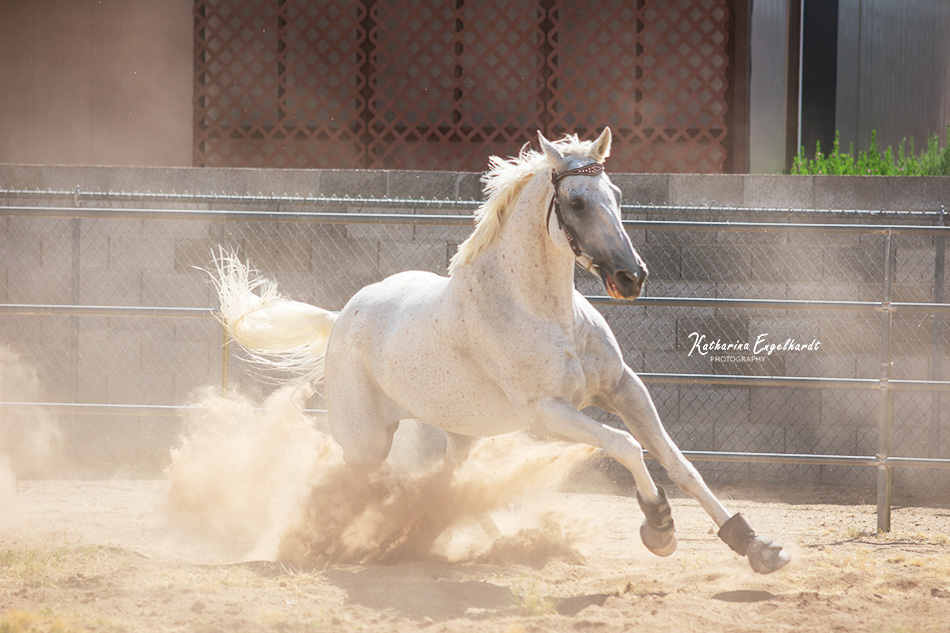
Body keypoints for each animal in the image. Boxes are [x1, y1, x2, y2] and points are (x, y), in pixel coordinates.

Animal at [214, 128, 788, 572]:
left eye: (618, 193)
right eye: (577, 202)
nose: (632, 277)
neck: (544, 313)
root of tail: (340, 320)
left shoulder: (624, 388)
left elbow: (676, 459)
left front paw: (757, 546)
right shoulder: (546, 413)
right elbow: (626, 445)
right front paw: (660, 528)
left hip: (458, 433)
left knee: (449, 485)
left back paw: (493, 540)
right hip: (366, 441)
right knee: (359, 482)